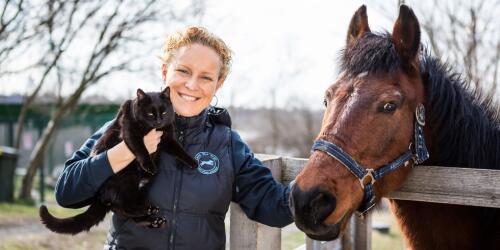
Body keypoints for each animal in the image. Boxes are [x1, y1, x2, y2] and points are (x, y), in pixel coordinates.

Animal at [39, 87, 196, 234]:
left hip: (145, 185)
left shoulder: (168, 137)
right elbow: (141, 148)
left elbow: (179, 149)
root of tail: (100, 196)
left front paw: (193, 163)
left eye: (164, 113)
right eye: (150, 114)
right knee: (126, 207)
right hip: (129, 176)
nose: (158, 121)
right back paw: (148, 210)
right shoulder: (130, 132)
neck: (154, 130)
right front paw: (148, 164)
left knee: (130, 213)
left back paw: (154, 219)